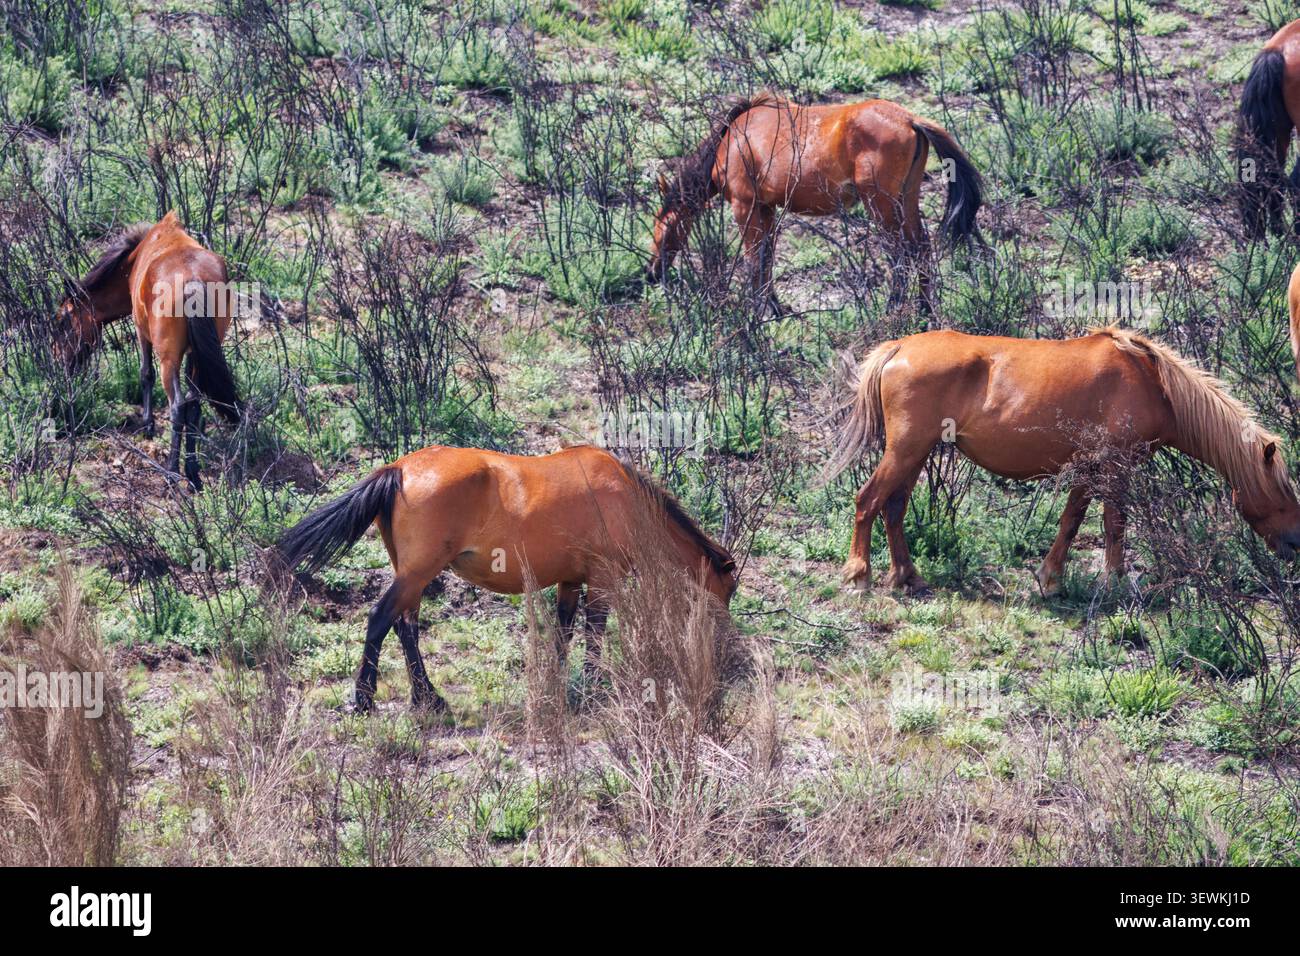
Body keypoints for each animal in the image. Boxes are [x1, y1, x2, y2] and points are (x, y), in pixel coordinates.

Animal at [54, 211, 242, 488]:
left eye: (64, 320)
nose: (58, 359)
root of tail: (193, 280)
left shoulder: (141, 331)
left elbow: (145, 374)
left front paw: (148, 425)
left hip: (168, 358)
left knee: (177, 406)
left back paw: (172, 471)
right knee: (193, 404)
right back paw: (192, 473)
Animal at [274, 444, 738, 714]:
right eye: (730, 589)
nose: (726, 653)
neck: (624, 496)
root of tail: (400, 469)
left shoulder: (570, 582)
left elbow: (564, 635)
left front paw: (558, 688)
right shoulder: (602, 579)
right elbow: (594, 634)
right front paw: (593, 689)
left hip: (412, 576)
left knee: (406, 628)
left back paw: (428, 699)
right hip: (418, 573)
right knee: (380, 619)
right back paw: (365, 700)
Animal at [646, 93, 983, 315]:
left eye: (662, 228)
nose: (652, 274)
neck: (733, 140)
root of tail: (910, 120)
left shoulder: (746, 206)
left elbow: (754, 260)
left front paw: (758, 312)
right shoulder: (767, 208)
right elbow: (767, 259)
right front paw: (775, 308)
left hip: (881, 205)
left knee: (901, 254)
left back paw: (892, 309)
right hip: (906, 199)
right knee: (921, 248)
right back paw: (924, 311)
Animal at [825, 327, 1300, 596]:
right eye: (1283, 491)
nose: (1295, 545)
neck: (1153, 384)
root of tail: (898, 346)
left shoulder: (1089, 469)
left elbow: (1071, 521)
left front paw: (1050, 579)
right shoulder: (1114, 466)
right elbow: (1113, 524)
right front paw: (1113, 583)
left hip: (915, 454)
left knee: (893, 508)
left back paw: (908, 576)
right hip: (905, 450)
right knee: (867, 501)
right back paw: (859, 576)